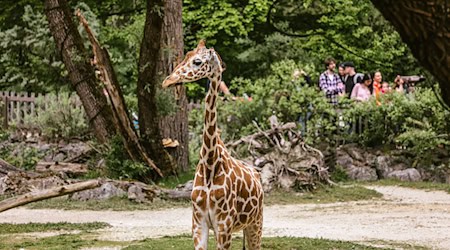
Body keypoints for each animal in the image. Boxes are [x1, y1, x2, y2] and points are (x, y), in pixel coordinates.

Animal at [162, 40, 264, 249]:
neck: (210, 164)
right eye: (186, 55)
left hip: (256, 224)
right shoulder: (198, 223)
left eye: (197, 62)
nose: (167, 81)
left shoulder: (223, 226)